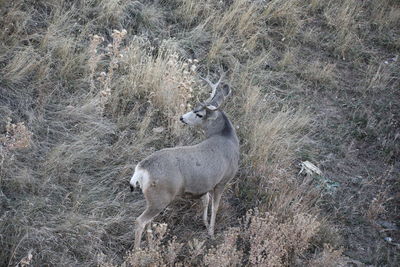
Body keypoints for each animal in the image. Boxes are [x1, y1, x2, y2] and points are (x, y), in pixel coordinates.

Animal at [130, 71, 239, 249]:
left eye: (199, 113)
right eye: (195, 109)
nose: (181, 118)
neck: (226, 137)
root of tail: (141, 169)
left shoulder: (205, 183)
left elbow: (205, 200)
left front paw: (205, 224)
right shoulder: (223, 180)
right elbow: (215, 206)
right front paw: (211, 233)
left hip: (153, 198)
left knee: (147, 222)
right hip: (160, 197)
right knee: (140, 221)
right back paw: (138, 251)